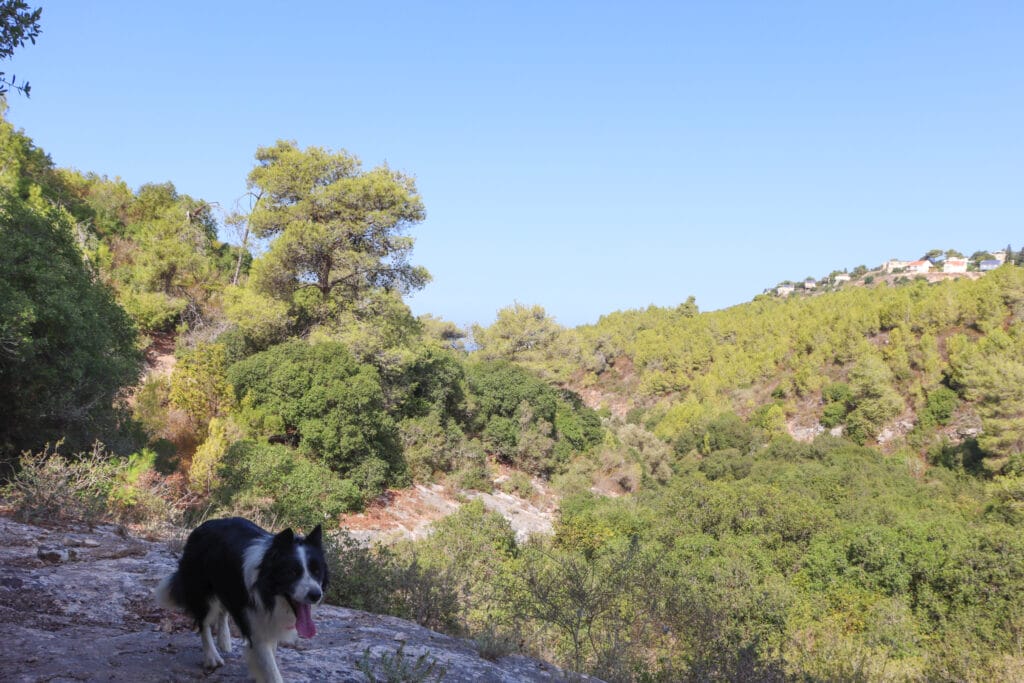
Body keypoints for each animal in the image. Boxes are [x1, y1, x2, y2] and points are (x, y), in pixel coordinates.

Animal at [154, 518, 327, 683]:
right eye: (292, 572)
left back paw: (224, 640)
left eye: (317, 571)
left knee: (223, 610)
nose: (315, 595)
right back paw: (212, 657)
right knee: (203, 622)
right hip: (202, 591)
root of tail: (203, 525)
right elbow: (270, 667)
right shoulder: (255, 623)